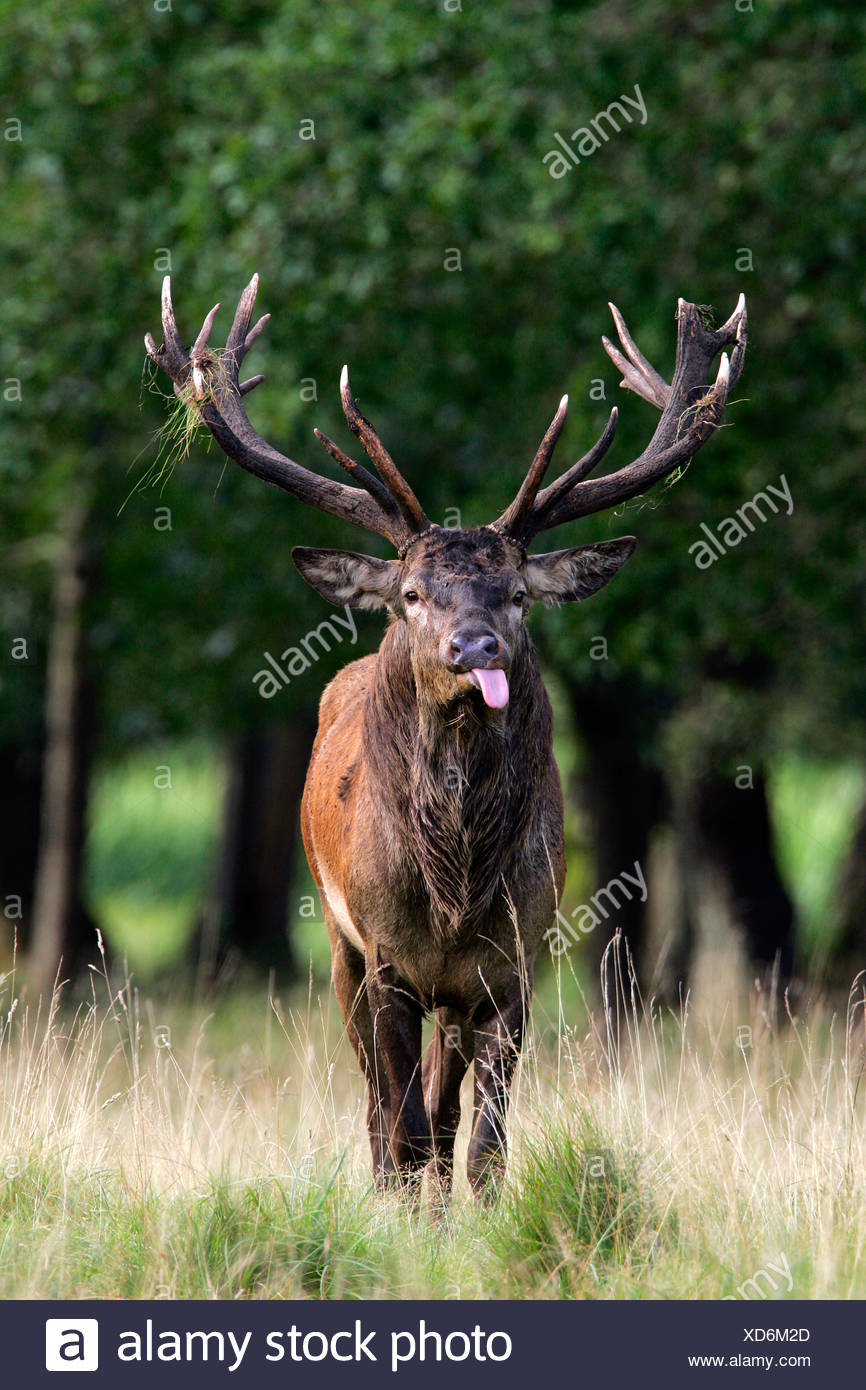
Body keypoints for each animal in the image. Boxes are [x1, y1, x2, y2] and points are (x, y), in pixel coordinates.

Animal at [145, 280, 747, 1200]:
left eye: (518, 595)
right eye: (413, 594)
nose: (475, 649)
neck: (454, 888)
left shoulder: (515, 966)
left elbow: (482, 1143)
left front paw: (474, 1214)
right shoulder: (385, 958)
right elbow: (399, 1127)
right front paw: (400, 1211)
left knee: (441, 1104)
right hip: (337, 945)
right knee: (380, 1108)